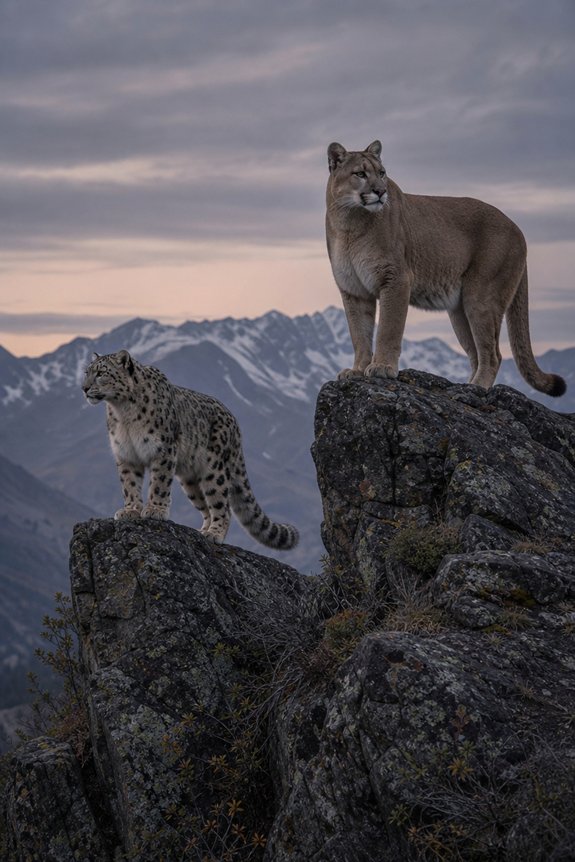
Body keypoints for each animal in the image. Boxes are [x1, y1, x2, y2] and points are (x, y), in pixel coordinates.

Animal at [82, 349, 299, 550]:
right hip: (190, 481)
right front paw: (130, 510)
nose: (84, 388)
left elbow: (159, 483)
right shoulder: (126, 454)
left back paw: (214, 534)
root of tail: (235, 424)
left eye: (101, 372)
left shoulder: (163, 450)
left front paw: (155, 510)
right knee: (206, 507)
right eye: (86, 372)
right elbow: (129, 485)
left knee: (222, 505)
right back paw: (202, 531)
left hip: (214, 470)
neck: (123, 412)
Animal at [326, 139, 566, 396]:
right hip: (459, 311)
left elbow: (388, 329)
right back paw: (465, 385)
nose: (381, 191)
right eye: (360, 174)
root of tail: (519, 230)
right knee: (476, 353)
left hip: (481, 298)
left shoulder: (396, 279)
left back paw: (476, 388)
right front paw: (357, 370)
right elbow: (359, 334)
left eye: (382, 173)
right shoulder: (353, 289)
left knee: (493, 354)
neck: (349, 222)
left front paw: (382, 367)